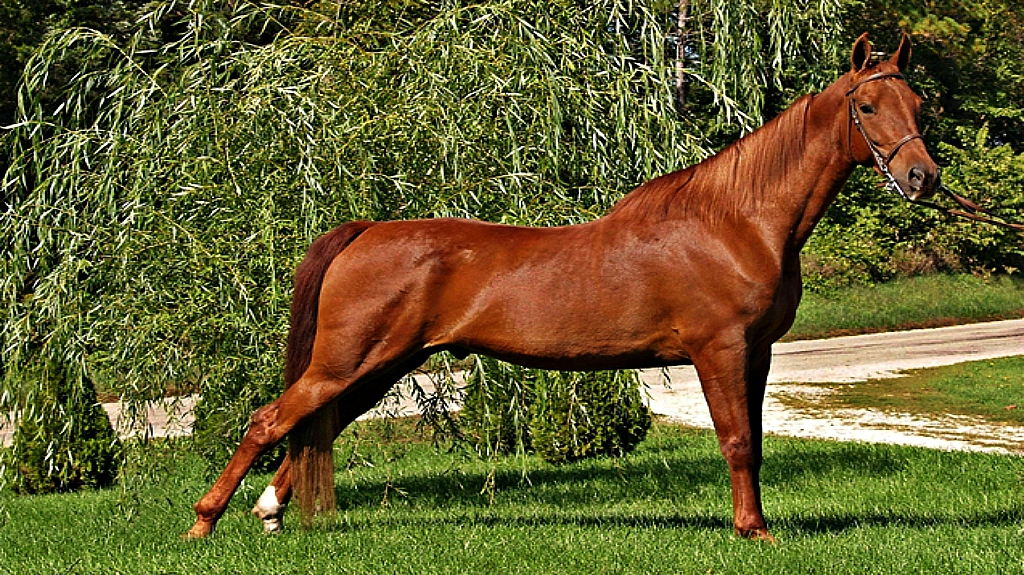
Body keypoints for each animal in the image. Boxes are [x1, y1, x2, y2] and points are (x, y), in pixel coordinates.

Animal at [184, 33, 937, 540]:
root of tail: (364, 231)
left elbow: (750, 435)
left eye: (918, 102)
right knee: (273, 419)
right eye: (868, 106)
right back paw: (204, 522)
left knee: (320, 424)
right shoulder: (719, 349)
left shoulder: (758, 354)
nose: (922, 178)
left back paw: (269, 511)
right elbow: (737, 441)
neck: (737, 221)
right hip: (351, 359)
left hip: (383, 363)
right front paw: (753, 531)